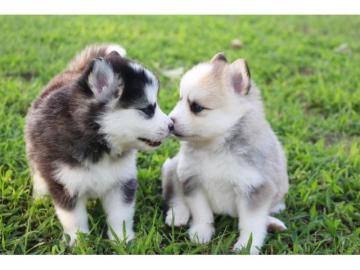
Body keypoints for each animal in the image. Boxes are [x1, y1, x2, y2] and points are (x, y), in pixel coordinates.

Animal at [25, 44, 173, 245]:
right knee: (38, 175)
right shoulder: (65, 184)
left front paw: (122, 239)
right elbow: (74, 218)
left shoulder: (122, 181)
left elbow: (121, 215)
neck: (100, 144)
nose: (172, 125)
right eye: (147, 109)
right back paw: (40, 197)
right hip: (36, 155)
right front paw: (79, 242)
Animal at [162, 53, 288, 255]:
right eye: (180, 99)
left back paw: (273, 222)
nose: (169, 123)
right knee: (174, 194)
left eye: (197, 107)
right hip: (173, 167)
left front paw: (247, 246)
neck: (215, 147)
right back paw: (178, 214)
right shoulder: (192, 180)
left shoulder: (255, 188)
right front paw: (201, 232)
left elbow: (251, 224)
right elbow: (201, 212)